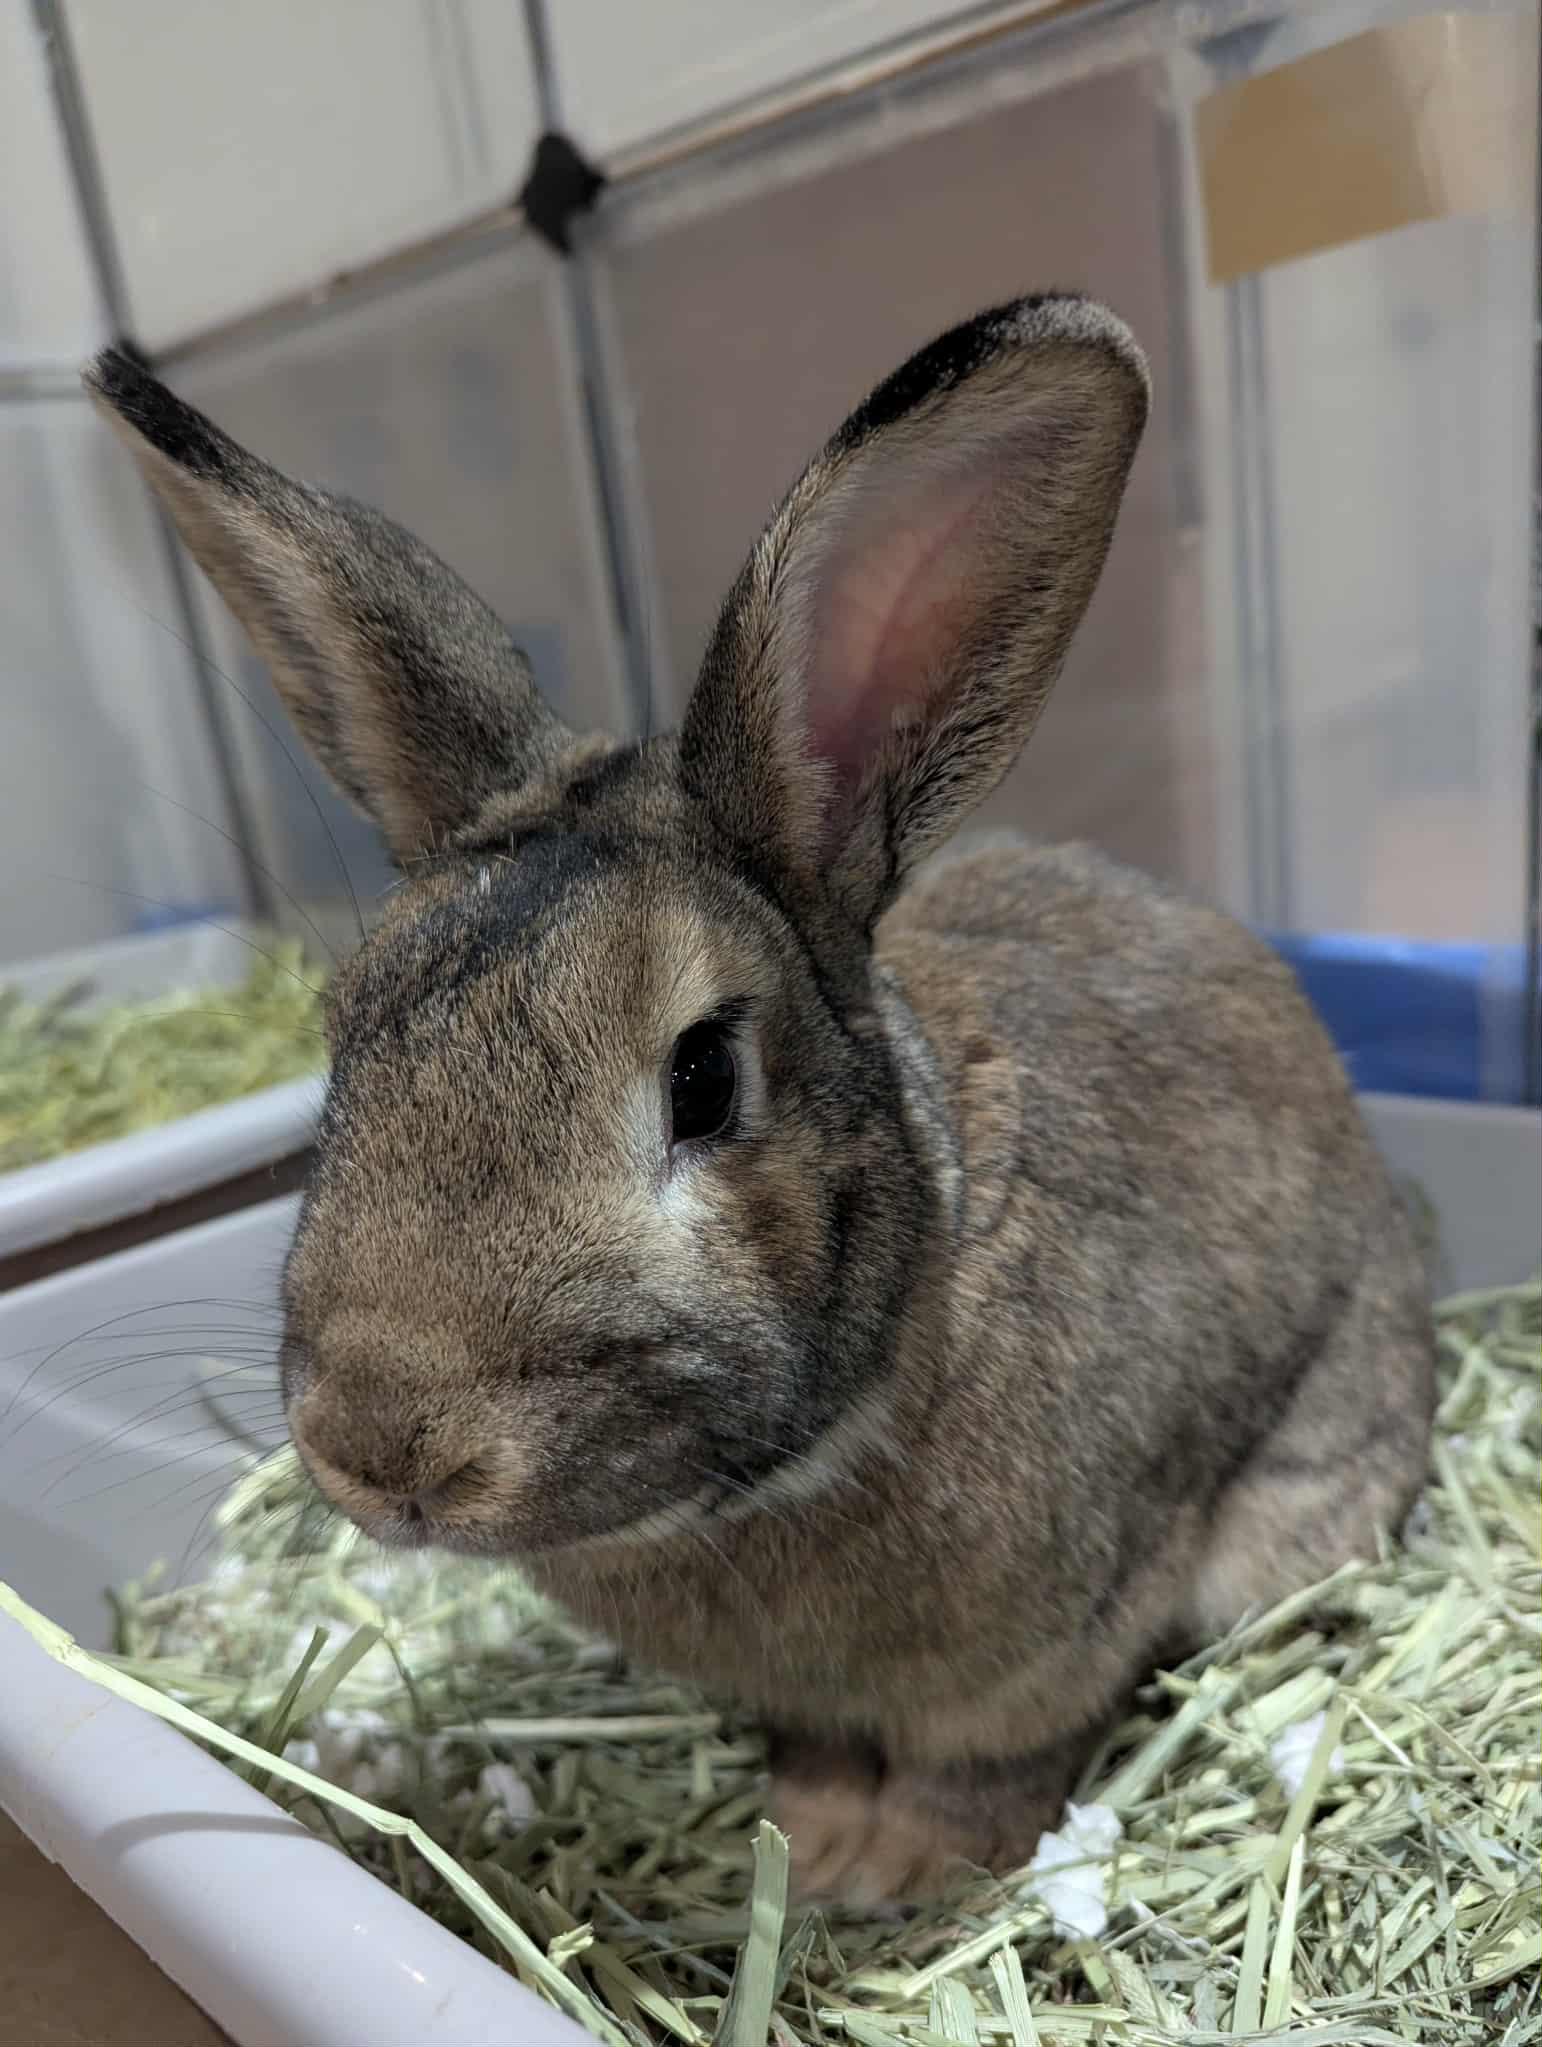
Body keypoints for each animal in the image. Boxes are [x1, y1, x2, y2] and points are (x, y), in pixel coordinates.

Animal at [87, 292, 1435, 1905]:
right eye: (346, 1032)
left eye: (704, 1077)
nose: (383, 1444)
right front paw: (814, 1828)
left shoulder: (1061, 1635)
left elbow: (985, 1763)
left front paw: (894, 1869)